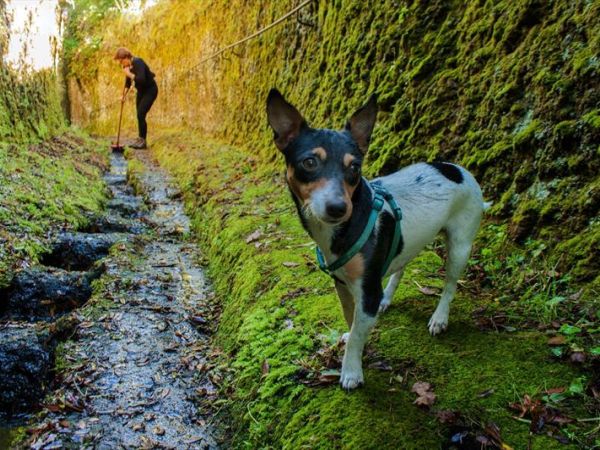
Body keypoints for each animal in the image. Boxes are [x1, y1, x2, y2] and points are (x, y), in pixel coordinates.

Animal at [268, 89, 488, 390]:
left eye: (354, 167)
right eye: (309, 162)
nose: (338, 208)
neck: (342, 230)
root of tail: (458, 169)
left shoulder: (368, 290)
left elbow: (358, 333)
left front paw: (351, 371)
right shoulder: (343, 284)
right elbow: (352, 321)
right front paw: (353, 340)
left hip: (460, 246)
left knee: (451, 284)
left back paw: (439, 318)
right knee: (402, 266)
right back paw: (389, 298)